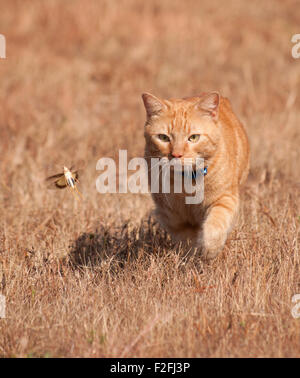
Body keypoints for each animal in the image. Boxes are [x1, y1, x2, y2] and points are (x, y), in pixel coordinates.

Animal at [142, 92, 250, 258]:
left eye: (193, 137)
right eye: (163, 137)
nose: (176, 154)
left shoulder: (225, 199)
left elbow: (214, 227)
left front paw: (209, 250)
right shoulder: (174, 217)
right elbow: (187, 243)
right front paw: (191, 257)